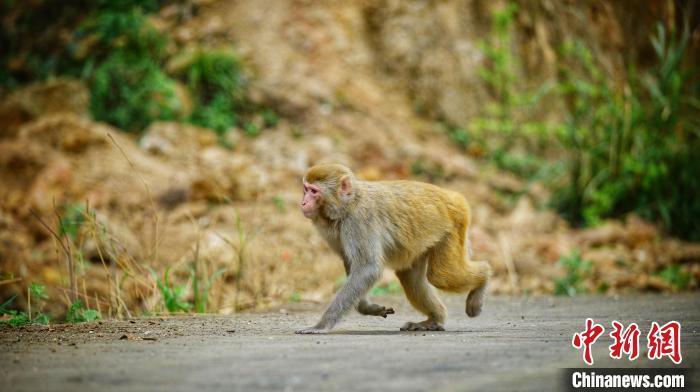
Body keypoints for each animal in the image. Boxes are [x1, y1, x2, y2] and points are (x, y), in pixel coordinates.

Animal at [296, 163, 492, 334]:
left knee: (441, 276)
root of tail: (454, 196)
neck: (349, 203)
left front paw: (321, 325)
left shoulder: (358, 222)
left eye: (314, 191)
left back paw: (484, 277)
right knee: (411, 278)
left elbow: (368, 268)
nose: (303, 203)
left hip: (454, 226)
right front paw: (368, 308)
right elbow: (354, 265)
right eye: (306, 189)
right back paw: (433, 321)